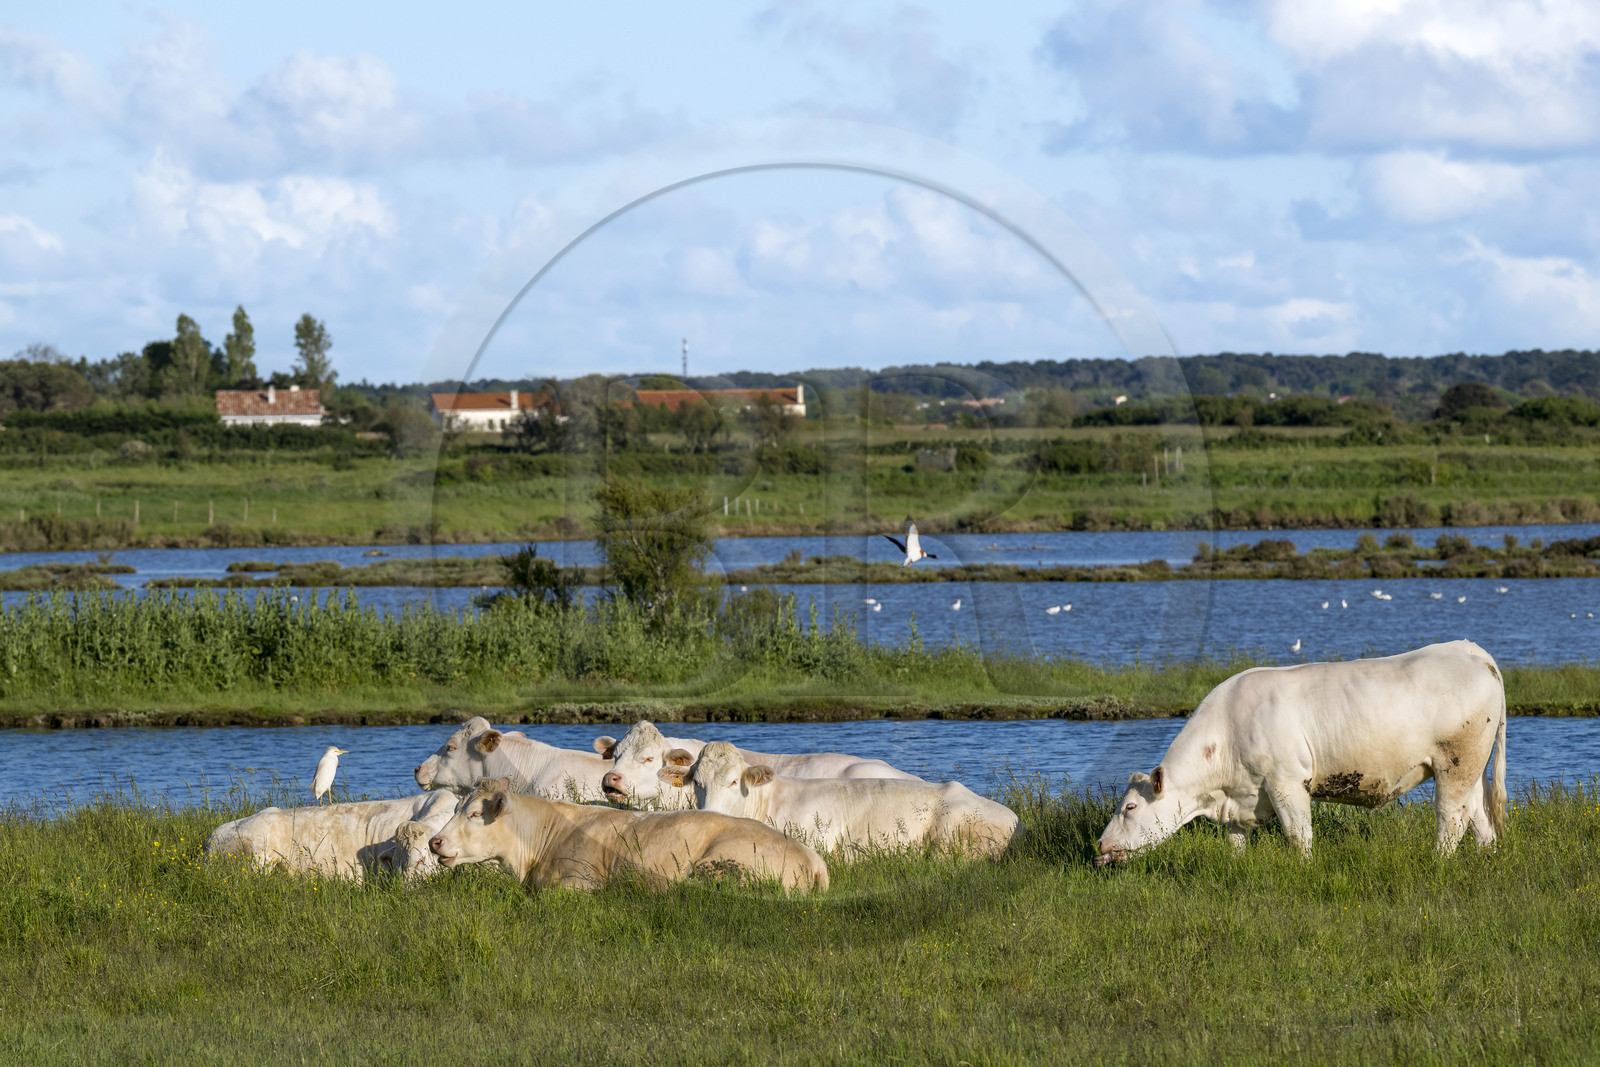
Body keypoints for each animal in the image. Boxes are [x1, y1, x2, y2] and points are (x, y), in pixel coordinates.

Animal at [428, 776, 830, 893]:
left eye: (476, 813)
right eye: (455, 808)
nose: (435, 841)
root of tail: (812, 858)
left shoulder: (578, 881)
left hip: (719, 867)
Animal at [1095, 640, 1508, 865]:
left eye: (1129, 807)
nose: (1100, 844)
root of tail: (1472, 651)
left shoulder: (1286, 781)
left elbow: (1298, 834)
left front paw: (1304, 869)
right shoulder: (1241, 796)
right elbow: (1234, 841)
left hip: (1455, 763)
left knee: (1450, 819)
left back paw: (1437, 861)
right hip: (1469, 767)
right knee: (1479, 818)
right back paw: (1486, 859)